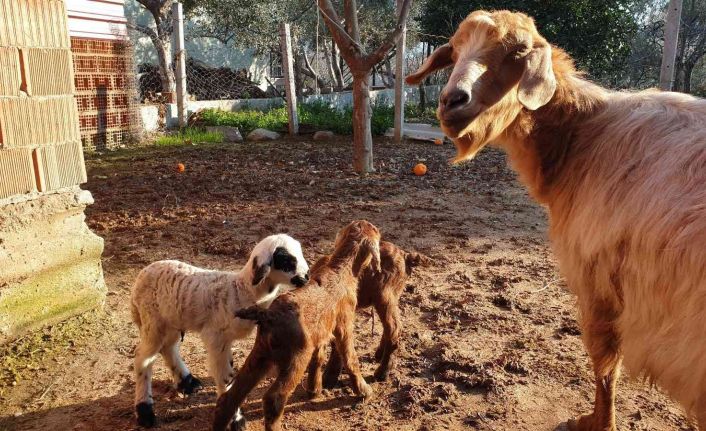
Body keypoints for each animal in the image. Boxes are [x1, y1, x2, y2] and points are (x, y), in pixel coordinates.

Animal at [131, 236, 310, 428]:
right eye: (286, 259)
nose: (307, 276)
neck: (241, 290)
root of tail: (141, 275)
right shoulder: (216, 338)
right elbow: (225, 377)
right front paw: (235, 420)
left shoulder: (226, 340)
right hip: (152, 321)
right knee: (143, 358)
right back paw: (145, 411)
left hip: (172, 320)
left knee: (168, 348)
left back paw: (188, 382)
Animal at [408, 8, 704, 430]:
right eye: (456, 50)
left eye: (517, 52)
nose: (452, 101)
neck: (583, 135)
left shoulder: (598, 283)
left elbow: (605, 365)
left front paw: (598, 421)